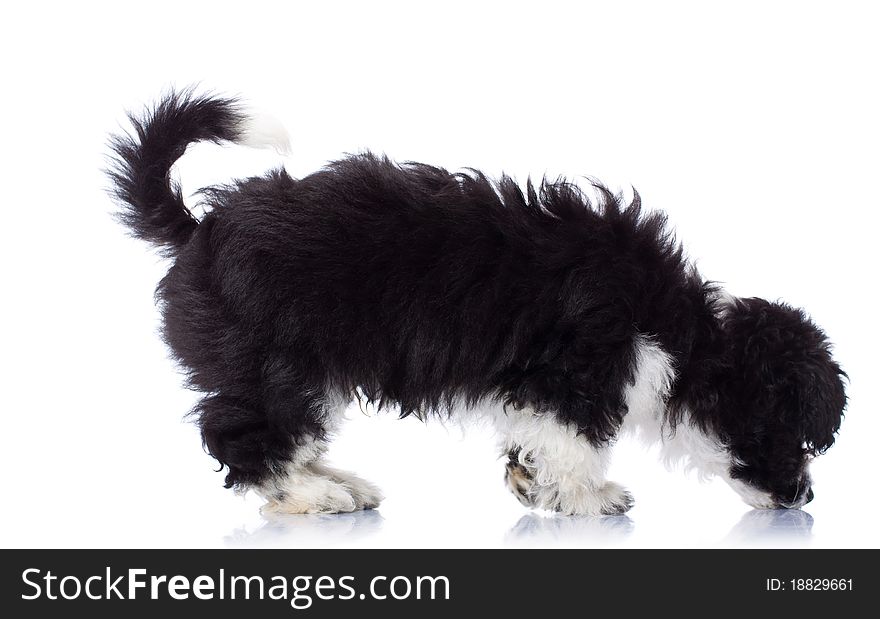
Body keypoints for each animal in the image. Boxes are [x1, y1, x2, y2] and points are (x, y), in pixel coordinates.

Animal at [108, 89, 844, 516]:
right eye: (788, 433)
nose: (803, 497)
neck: (683, 332)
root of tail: (201, 228)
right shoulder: (575, 375)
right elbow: (575, 443)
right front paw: (586, 495)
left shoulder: (538, 386)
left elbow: (534, 441)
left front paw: (531, 484)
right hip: (276, 367)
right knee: (246, 436)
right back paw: (311, 494)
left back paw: (338, 482)